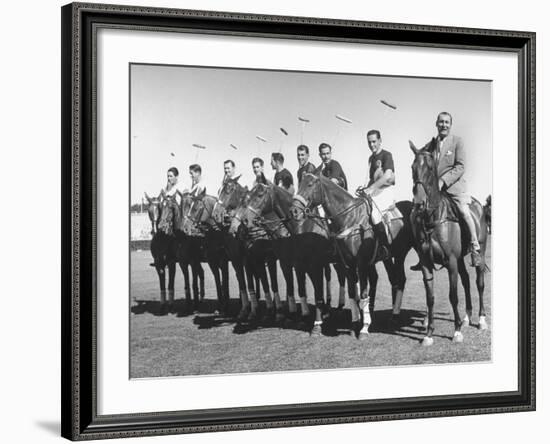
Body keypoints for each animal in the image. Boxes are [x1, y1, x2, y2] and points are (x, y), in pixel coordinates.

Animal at [292, 173, 416, 336]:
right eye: (299, 184)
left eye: (310, 184)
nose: (294, 210)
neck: (349, 218)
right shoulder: (348, 264)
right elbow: (351, 293)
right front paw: (354, 325)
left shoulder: (360, 263)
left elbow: (362, 293)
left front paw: (364, 328)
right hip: (388, 257)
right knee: (393, 279)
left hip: (402, 253)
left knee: (400, 280)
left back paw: (395, 316)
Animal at [410, 140, 492, 346]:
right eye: (413, 167)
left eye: (430, 168)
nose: (419, 203)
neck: (433, 218)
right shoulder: (427, 264)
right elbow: (430, 297)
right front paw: (429, 334)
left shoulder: (451, 262)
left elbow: (453, 295)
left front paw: (456, 332)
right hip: (461, 259)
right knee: (466, 281)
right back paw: (466, 317)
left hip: (479, 252)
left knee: (479, 283)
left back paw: (481, 320)